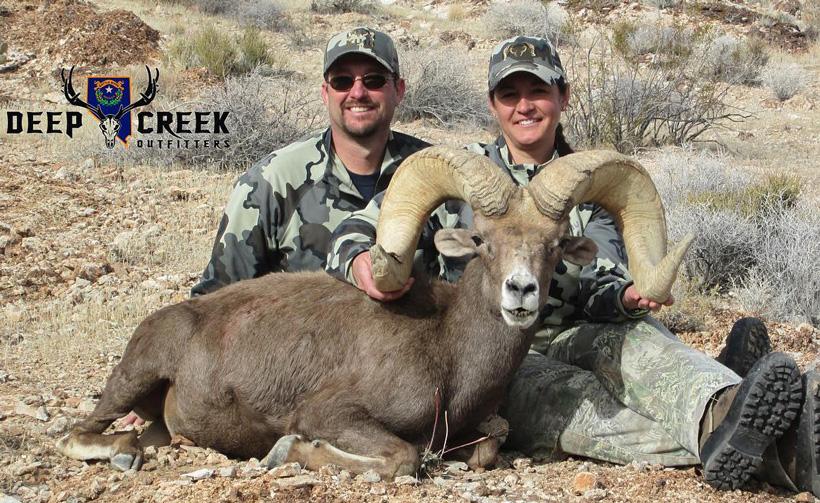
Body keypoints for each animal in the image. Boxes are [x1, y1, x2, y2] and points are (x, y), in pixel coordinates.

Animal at [56, 146, 692, 479]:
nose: (520, 292)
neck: (448, 355)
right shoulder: (335, 414)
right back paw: (122, 453)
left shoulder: (476, 430)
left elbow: (488, 445)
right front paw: (291, 451)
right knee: (77, 434)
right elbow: (402, 457)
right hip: (132, 378)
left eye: (557, 246)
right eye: (482, 241)